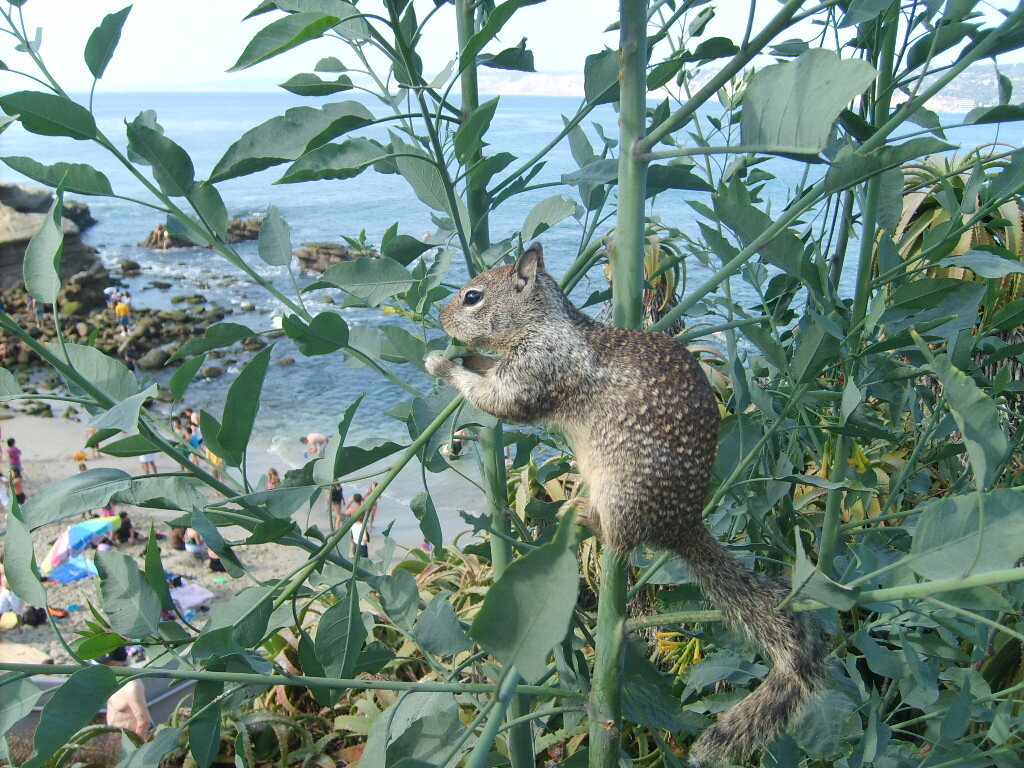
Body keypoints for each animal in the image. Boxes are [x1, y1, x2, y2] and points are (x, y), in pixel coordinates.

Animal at [428, 241, 827, 765]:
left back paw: (581, 515)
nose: (440, 316)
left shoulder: (539, 370)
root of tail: (683, 525)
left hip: (623, 493)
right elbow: (488, 375)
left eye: (473, 296)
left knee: (621, 536)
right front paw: (466, 358)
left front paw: (442, 364)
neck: (545, 323)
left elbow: (501, 400)